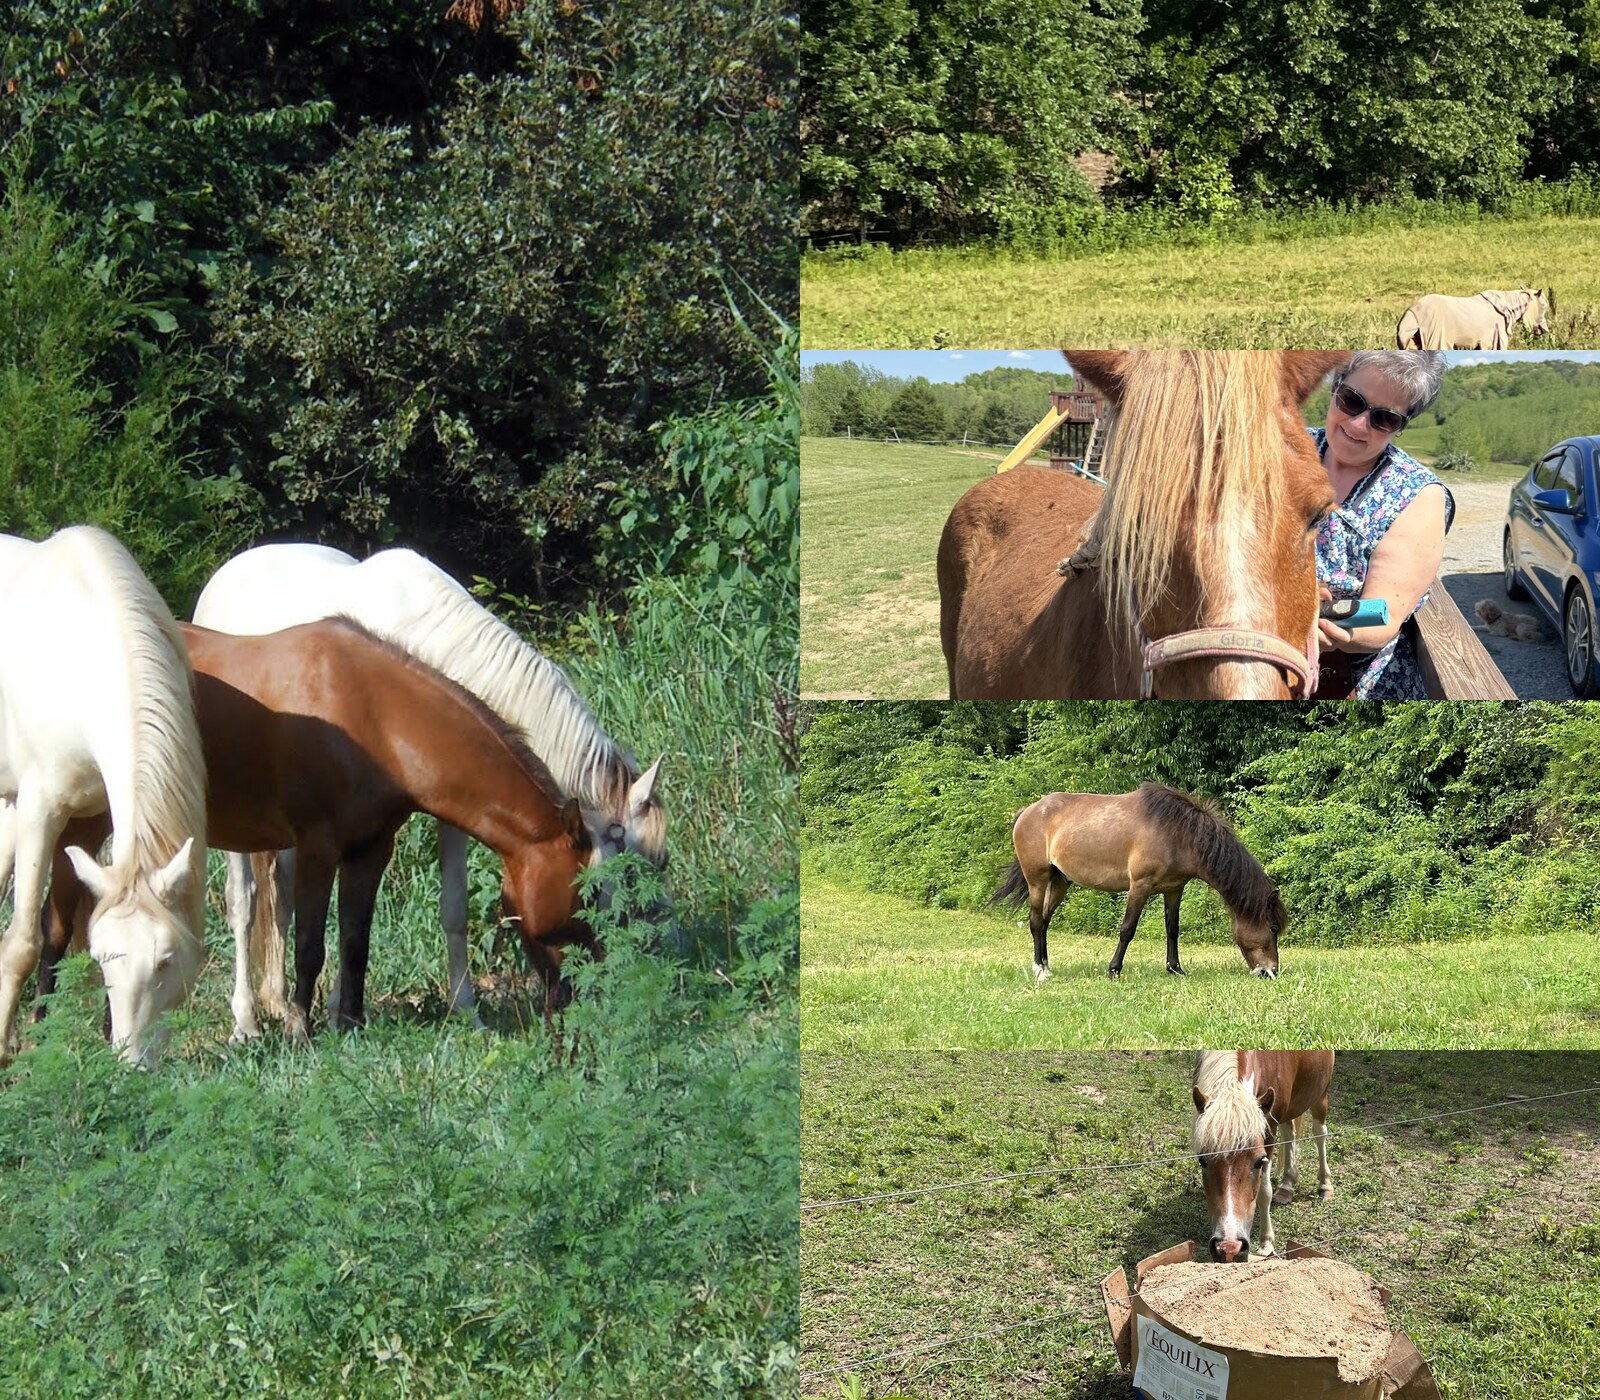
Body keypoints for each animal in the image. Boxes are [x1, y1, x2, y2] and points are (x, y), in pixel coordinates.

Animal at [0, 527, 208, 1065]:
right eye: (104, 959)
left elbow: (61, 926)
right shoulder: (39, 811)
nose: (132, 1063)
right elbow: (22, 942)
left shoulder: (91, 819)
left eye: (165, 960)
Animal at [40, 619, 595, 1042]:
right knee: (57, 924)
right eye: (586, 898)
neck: (371, 717)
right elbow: (310, 944)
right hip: (88, 820)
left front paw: (351, 1023)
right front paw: (300, 1030)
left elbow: (354, 940)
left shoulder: (370, 849)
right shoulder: (316, 846)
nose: (580, 991)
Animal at [192, 543, 667, 1023]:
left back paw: (276, 997)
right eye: (619, 880)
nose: (644, 966)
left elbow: (450, 907)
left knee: (282, 895)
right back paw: (246, 1018)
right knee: (245, 902)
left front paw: (465, 1009)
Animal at [988, 783, 1284, 980]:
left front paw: (1175, 968)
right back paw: (1040, 971)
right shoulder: (1139, 886)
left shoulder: (1174, 889)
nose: (1271, 971)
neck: (1177, 833)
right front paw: (1114, 970)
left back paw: (1047, 965)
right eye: (1272, 928)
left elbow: (1172, 929)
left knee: (1045, 921)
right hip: (1037, 880)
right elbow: (1127, 929)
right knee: (1036, 921)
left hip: (1060, 881)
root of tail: (1028, 811)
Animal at [1191, 1049, 1335, 1262]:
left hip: (1320, 1094)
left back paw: (1325, 1185)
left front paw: (1266, 1243)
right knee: (1289, 1133)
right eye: (1202, 1161)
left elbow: (1264, 1191)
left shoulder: (1269, 1130)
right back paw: (1287, 1186)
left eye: (1259, 1162)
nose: (1229, 1247)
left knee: (1320, 1134)